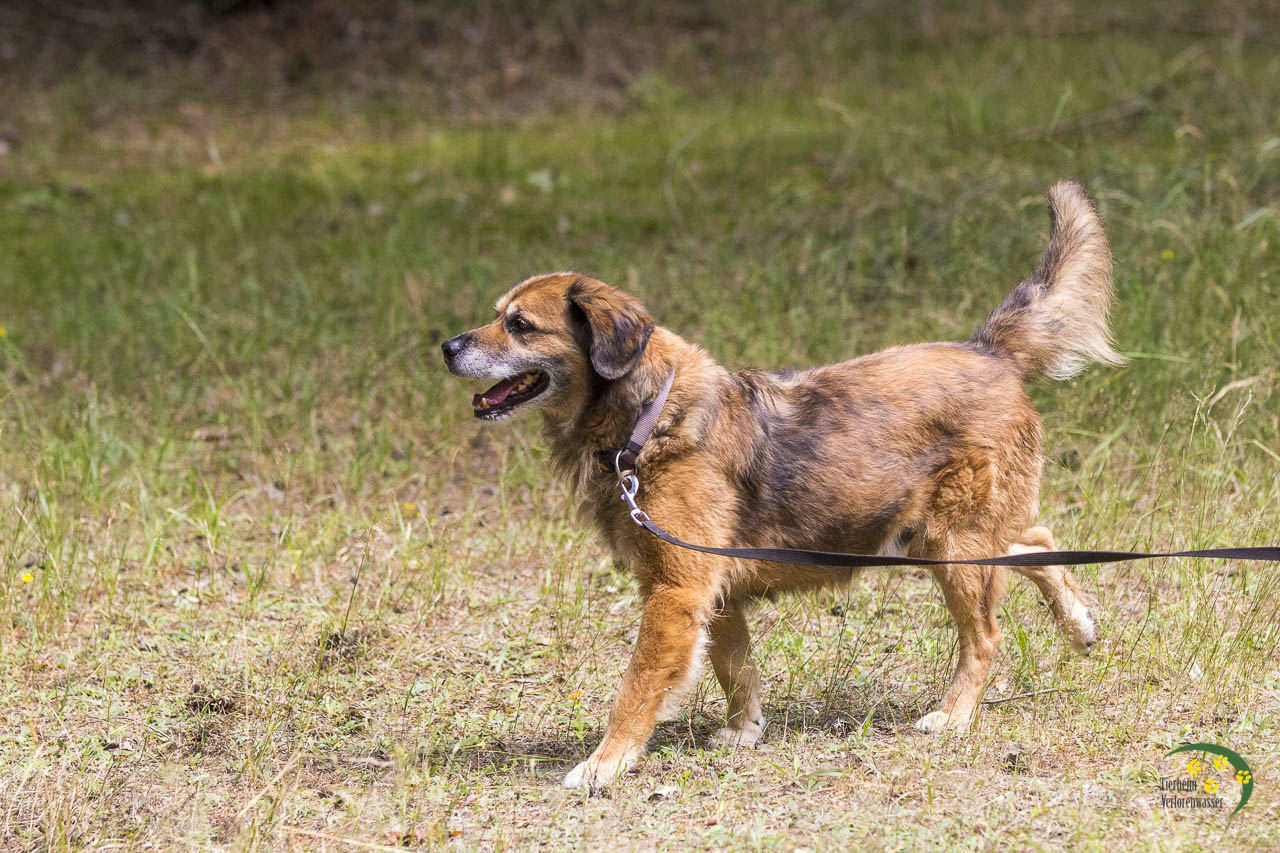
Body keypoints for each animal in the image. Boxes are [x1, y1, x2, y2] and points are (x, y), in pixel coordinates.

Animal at [442, 181, 1121, 792]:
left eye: (520, 325)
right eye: (499, 316)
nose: (446, 346)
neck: (648, 419)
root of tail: (989, 350)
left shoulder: (675, 591)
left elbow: (636, 691)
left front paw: (603, 765)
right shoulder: (713, 592)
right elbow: (734, 666)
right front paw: (745, 730)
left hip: (953, 547)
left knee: (985, 636)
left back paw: (955, 715)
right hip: (934, 537)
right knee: (1036, 539)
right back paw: (1078, 622)